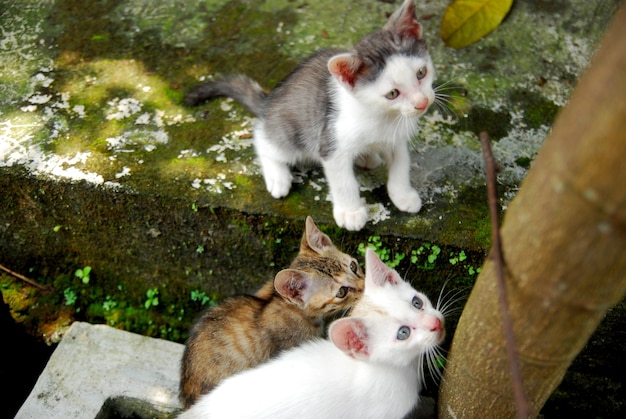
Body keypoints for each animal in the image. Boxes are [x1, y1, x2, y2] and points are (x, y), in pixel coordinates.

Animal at [183, 0, 432, 233]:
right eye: (392, 94)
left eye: (421, 73)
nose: (422, 102)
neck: (383, 117)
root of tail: (270, 101)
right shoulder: (331, 143)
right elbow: (343, 182)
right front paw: (350, 212)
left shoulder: (396, 139)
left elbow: (400, 165)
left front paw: (403, 195)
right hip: (290, 132)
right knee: (263, 139)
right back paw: (278, 176)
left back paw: (367, 158)